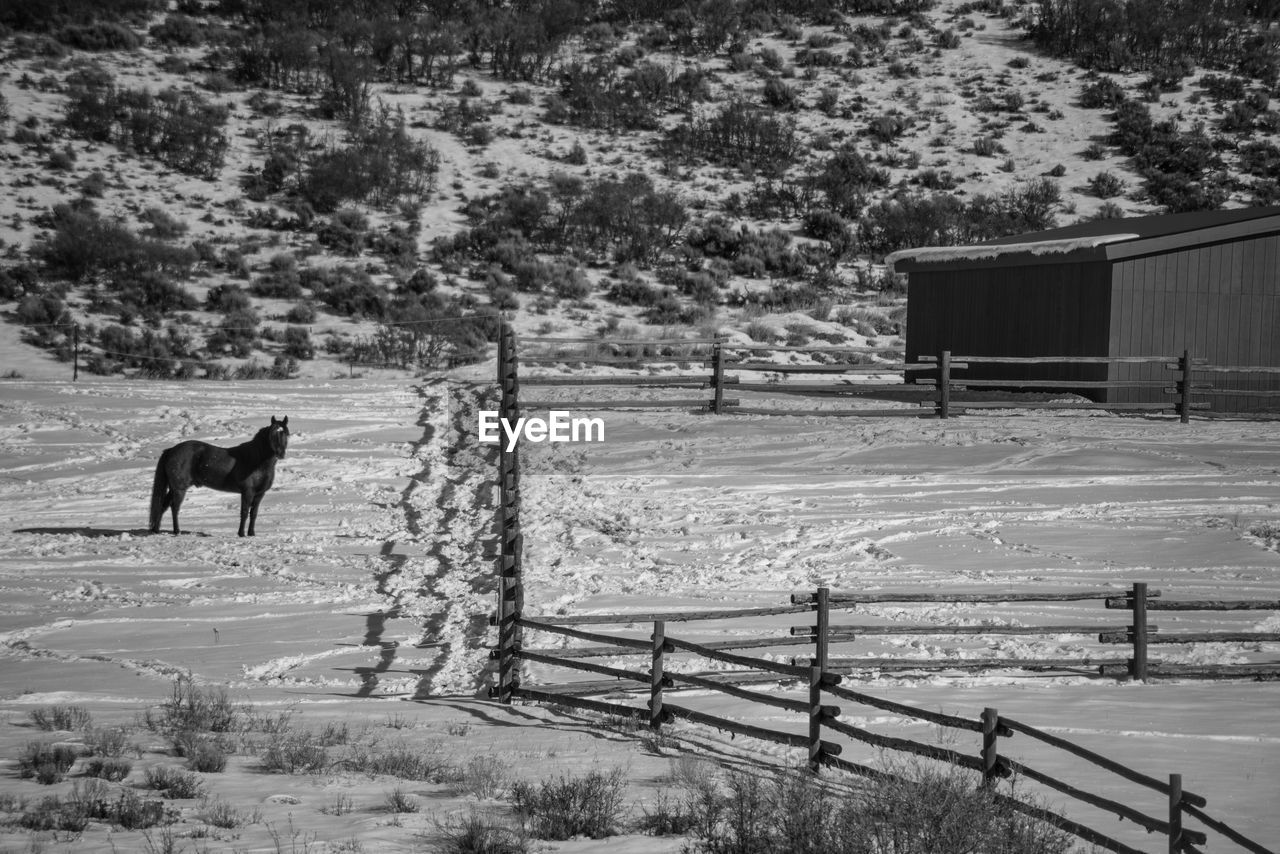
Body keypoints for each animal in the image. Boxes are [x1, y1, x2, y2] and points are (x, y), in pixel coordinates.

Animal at [149, 414, 290, 535]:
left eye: (287, 434)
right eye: (272, 434)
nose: (280, 453)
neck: (257, 461)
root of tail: (171, 450)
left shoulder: (260, 494)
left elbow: (253, 514)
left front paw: (251, 533)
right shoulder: (247, 492)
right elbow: (244, 512)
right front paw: (241, 534)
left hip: (174, 488)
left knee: (163, 505)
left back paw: (156, 530)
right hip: (179, 489)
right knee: (174, 508)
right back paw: (176, 531)